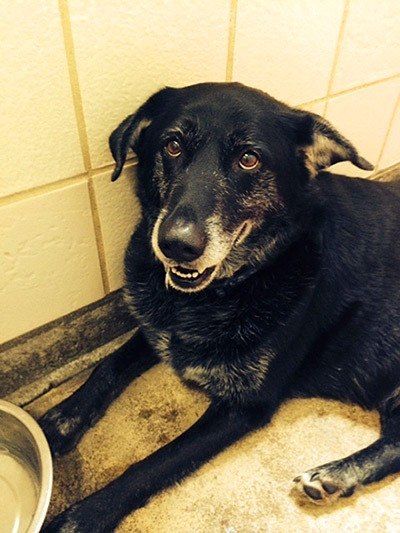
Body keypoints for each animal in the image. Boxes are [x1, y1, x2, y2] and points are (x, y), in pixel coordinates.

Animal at [39, 81, 400, 528]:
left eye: (249, 158)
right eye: (173, 145)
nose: (176, 244)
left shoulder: (244, 406)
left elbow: (153, 463)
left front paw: (83, 516)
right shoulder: (158, 330)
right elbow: (109, 364)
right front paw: (65, 416)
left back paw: (333, 474)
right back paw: (334, 478)